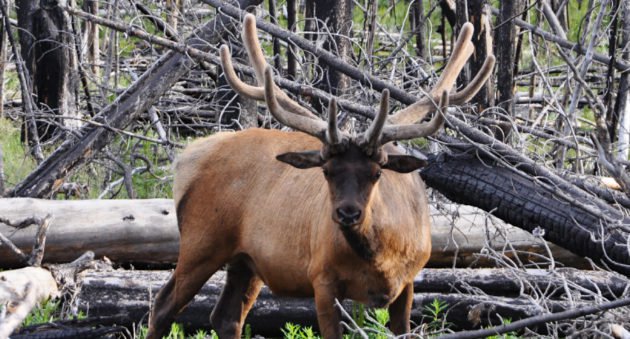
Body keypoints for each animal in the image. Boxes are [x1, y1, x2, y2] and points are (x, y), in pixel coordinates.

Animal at [149, 13, 498, 339]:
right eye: (326, 171)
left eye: (377, 172)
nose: (347, 213)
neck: (381, 258)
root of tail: (186, 158)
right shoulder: (322, 279)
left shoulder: (409, 281)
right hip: (201, 241)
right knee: (163, 305)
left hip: (246, 260)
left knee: (226, 316)